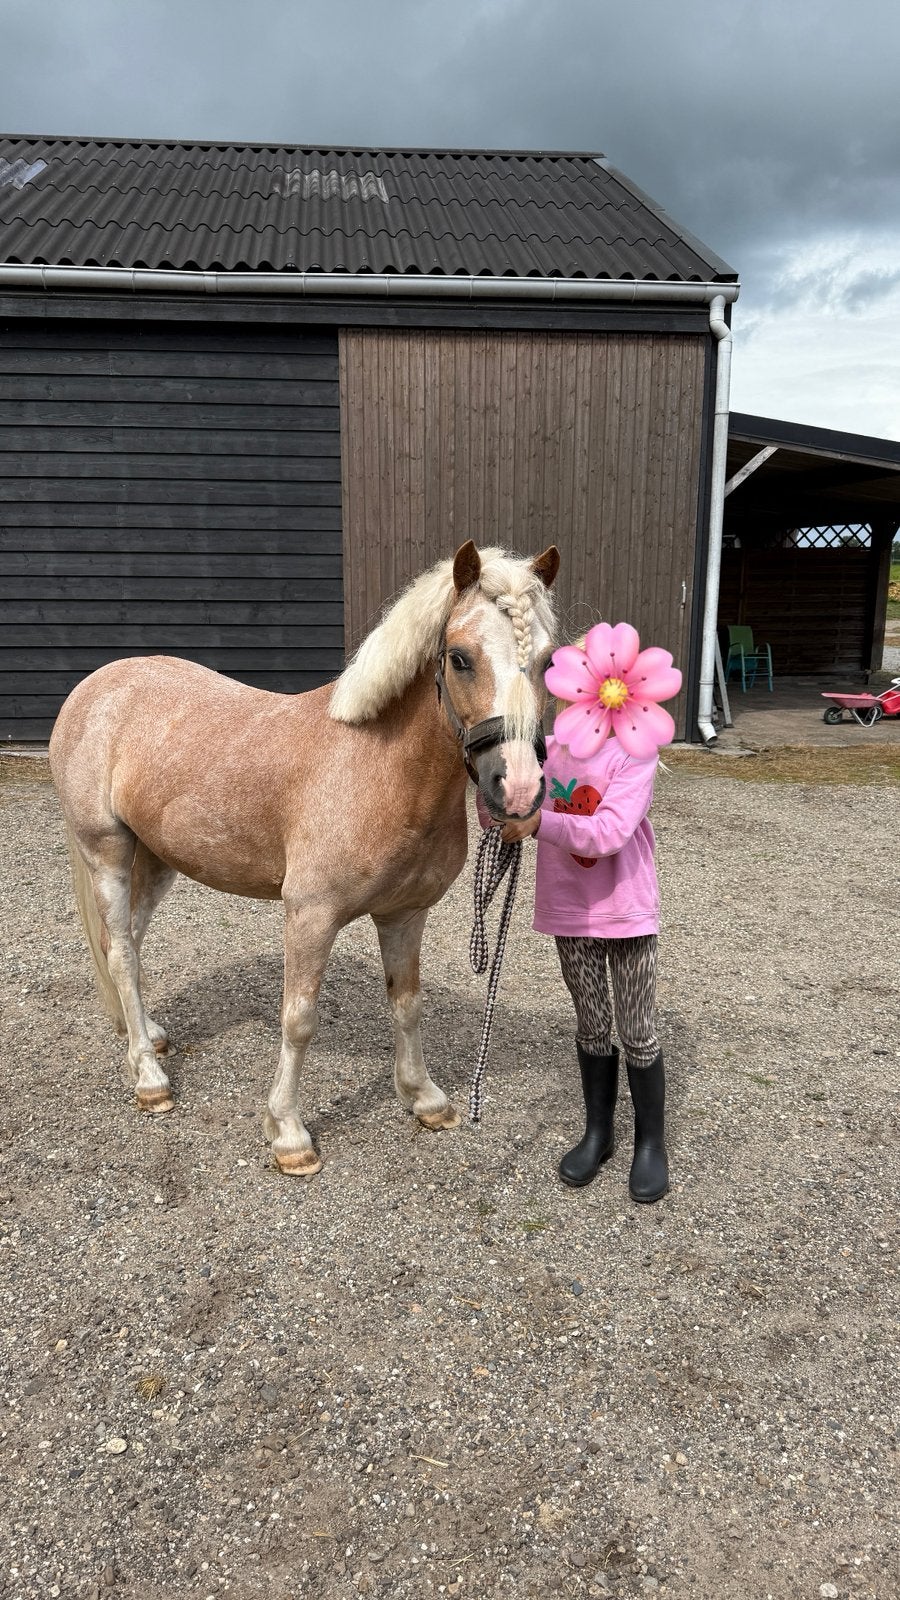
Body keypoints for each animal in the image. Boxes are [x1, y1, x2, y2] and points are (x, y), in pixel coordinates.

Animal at [48, 540, 560, 1175]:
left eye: (549, 660)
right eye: (461, 658)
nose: (518, 791)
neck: (378, 767)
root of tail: (96, 686)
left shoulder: (405, 914)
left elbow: (407, 1004)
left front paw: (424, 1098)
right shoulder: (311, 915)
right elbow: (298, 1019)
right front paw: (288, 1134)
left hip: (159, 857)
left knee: (131, 947)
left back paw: (146, 1033)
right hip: (108, 853)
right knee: (119, 953)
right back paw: (149, 1077)